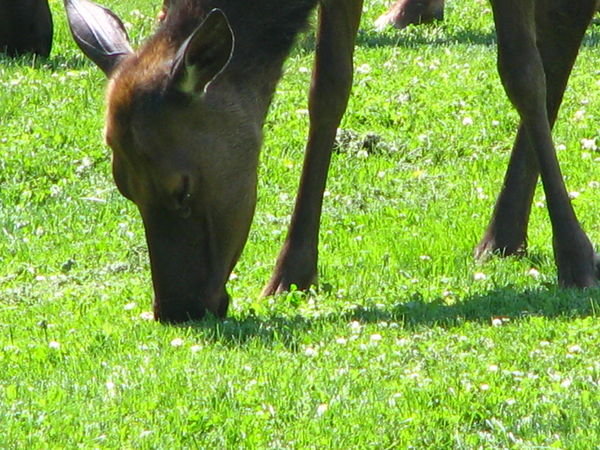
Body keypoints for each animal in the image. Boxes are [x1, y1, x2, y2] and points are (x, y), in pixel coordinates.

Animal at [67, 0, 600, 324]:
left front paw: (577, 258)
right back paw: (506, 235)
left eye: (183, 187)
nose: (176, 310)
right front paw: (290, 271)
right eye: (123, 186)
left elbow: (523, 76)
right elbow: (327, 87)